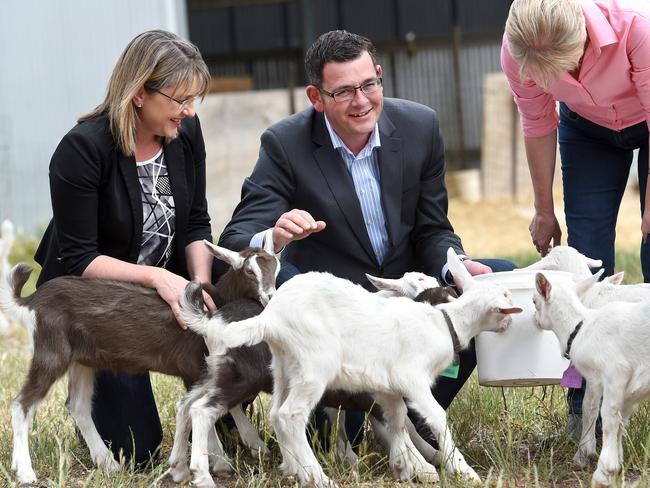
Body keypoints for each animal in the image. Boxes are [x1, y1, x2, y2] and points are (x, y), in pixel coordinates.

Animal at [184, 250, 520, 486]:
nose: (511, 322)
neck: (442, 321)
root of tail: (270, 319)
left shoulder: (387, 388)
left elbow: (398, 420)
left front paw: (406, 465)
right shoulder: (410, 379)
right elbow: (433, 417)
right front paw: (459, 470)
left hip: (284, 368)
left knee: (271, 413)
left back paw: (294, 469)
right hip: (311, 368)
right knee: (286, 414)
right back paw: (316, 476)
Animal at [536, 272, 650, 486]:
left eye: (534, 301)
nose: (534, 320)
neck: (581, 326)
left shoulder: (615, 371)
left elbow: (604, 414)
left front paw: (603, 470)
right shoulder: (623, 388)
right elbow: (616, 417)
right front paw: (616, 462)